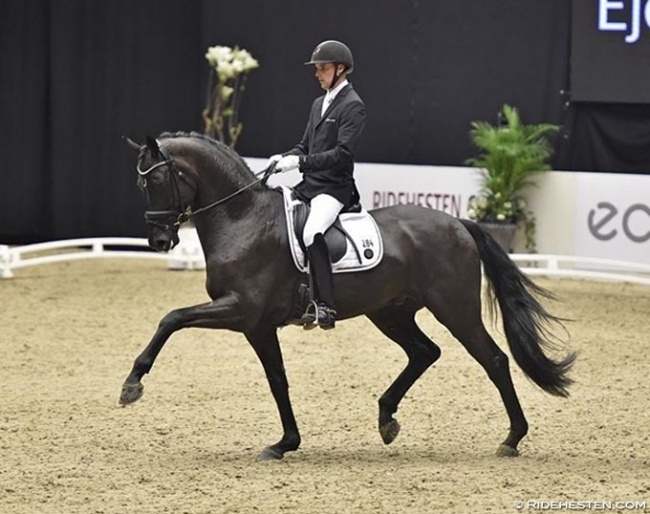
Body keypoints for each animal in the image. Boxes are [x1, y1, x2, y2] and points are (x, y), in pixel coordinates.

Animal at [120, 130, 572, 458]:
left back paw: (512, 439)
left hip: (454, 308)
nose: (159, 241)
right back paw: (387, 419)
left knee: (493, 359)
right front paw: (285, 443)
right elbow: (278, 380)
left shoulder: (241, 311)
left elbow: (172, 318)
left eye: (156, 178)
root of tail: (458, 223)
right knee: (425, 352)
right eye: (139, 181)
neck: (242, 218)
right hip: (391, 313)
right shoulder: (258, 326)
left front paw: (132, 384)